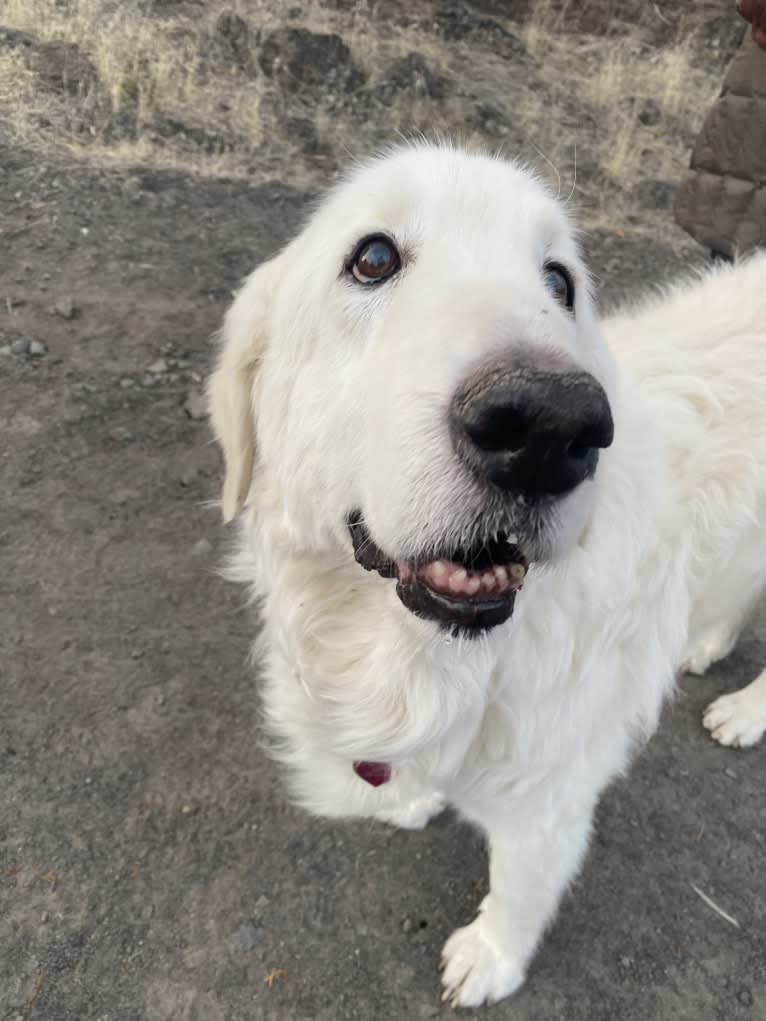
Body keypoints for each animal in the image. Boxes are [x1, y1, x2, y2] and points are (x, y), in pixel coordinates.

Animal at [208, 143, 766, 1004]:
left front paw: (490, 958)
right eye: (373, 258)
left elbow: (520, 885)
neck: (433, 656)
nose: (549, 426)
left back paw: (746, 711)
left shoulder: (550, 801)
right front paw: (418, 796)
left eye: (560, 281)